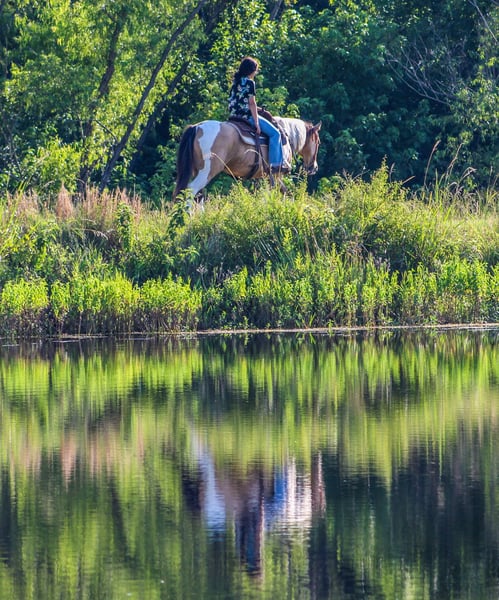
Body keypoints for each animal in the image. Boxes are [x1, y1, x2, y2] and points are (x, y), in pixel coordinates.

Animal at [173, 117, 321, 199]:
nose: (314, 167)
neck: (286, 136)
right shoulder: (277, 175)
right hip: (208, 171)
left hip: (197, 171)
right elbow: (283, 193)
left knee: (198, 195)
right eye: (318, 142)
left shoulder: (267, 177)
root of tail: (196, 127)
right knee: (191, 190)